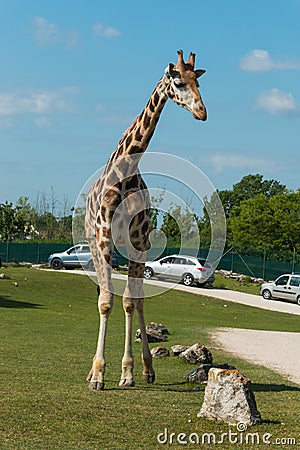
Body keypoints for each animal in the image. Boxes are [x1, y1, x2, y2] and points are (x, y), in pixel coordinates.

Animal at [84, 49, 206, 388]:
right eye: (178, 81)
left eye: (198, 81)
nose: (201, 112)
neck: (125, 172)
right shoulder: (103, 239)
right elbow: (106, 301)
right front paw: (99, 375)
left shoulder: (139, 243)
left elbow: (129, 300)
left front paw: (127, 372)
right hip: (94, 243)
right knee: (103, 295)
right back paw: (93, 371)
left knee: (136, 300)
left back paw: (147, 369)